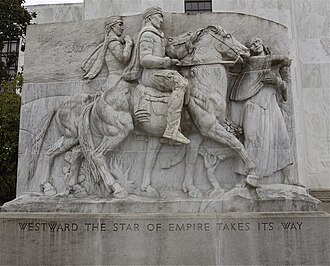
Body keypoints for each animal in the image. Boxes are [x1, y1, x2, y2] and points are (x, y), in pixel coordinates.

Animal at [78, 25, 258, 198]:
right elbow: (236, 144)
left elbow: (191, 160)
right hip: (119, 130)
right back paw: (117, 189)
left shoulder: (196, 134)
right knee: (97, 155)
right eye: (228, 36)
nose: (246, 51)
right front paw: (252, 175)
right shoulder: (210, 127)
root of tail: (96, 102)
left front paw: (191, 189)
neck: (204, 86)